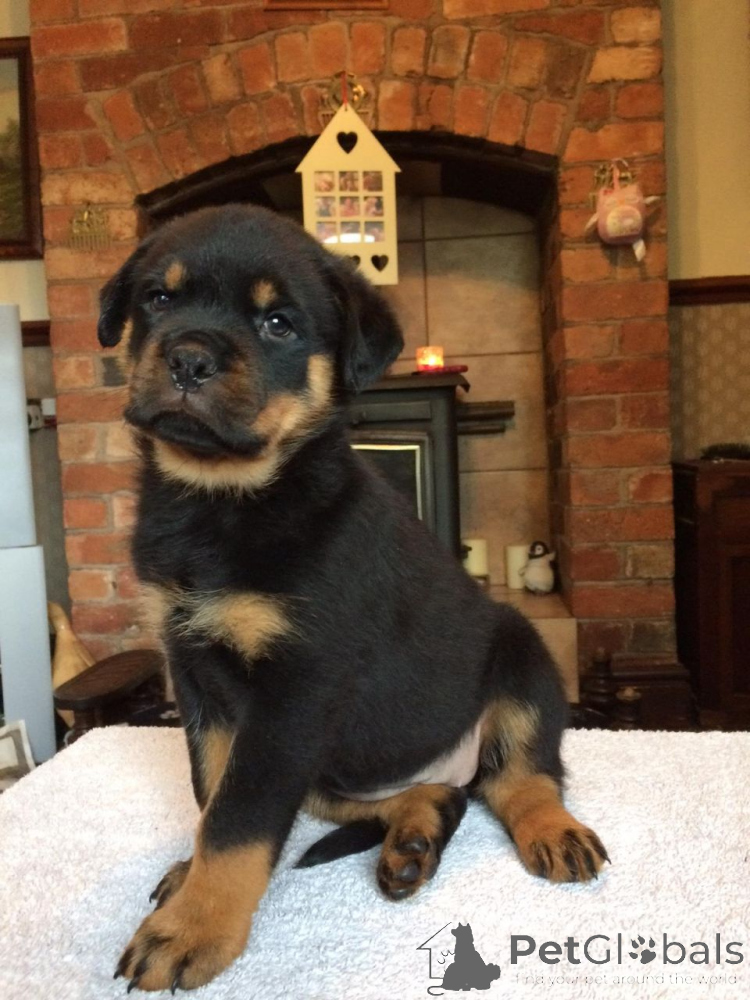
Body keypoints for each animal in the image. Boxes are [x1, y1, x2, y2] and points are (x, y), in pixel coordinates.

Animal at [99, 205, 608, 992]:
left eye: (278, 323)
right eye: (158, 297)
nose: (187, 359)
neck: (226, 500)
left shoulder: (296, 691)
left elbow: (239, 816)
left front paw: (192, 929)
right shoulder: (198, 679)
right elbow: (211, 790)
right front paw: (190, 881)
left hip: (520, 657)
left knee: (521, 775)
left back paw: (552, 830)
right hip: (336, 761)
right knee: (434, 793)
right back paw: (413, 840)